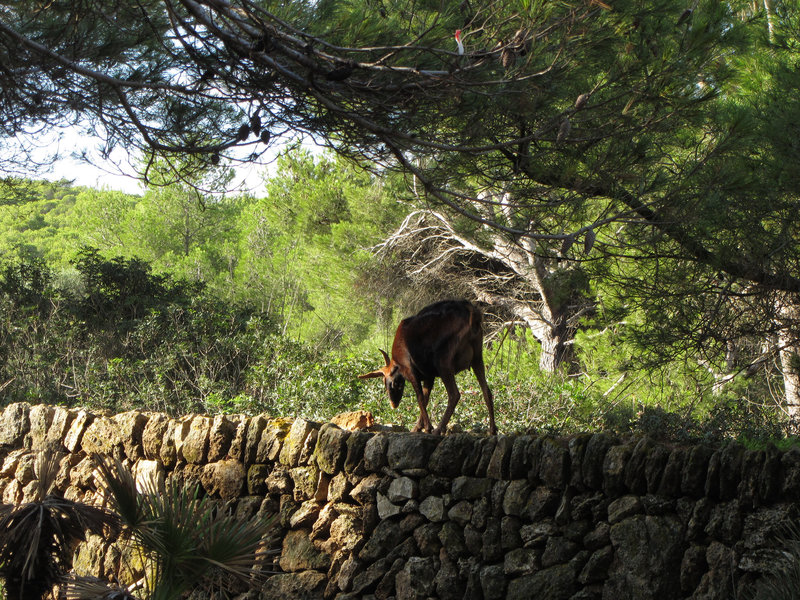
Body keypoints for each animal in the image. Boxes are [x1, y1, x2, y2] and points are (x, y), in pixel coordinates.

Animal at [358, 302, 494, 434]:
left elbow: (420, 398)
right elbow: (426, 398)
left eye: (391, 382)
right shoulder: (429, 376)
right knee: (487, 391)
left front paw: (428, 427)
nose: (393, 404)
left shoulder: (411, 370)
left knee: (454, 394)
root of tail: (472, 313)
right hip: (477, 357)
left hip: (443, 360)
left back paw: (438, 429)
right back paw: (492, 430)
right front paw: (418, 427)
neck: (397, 362)